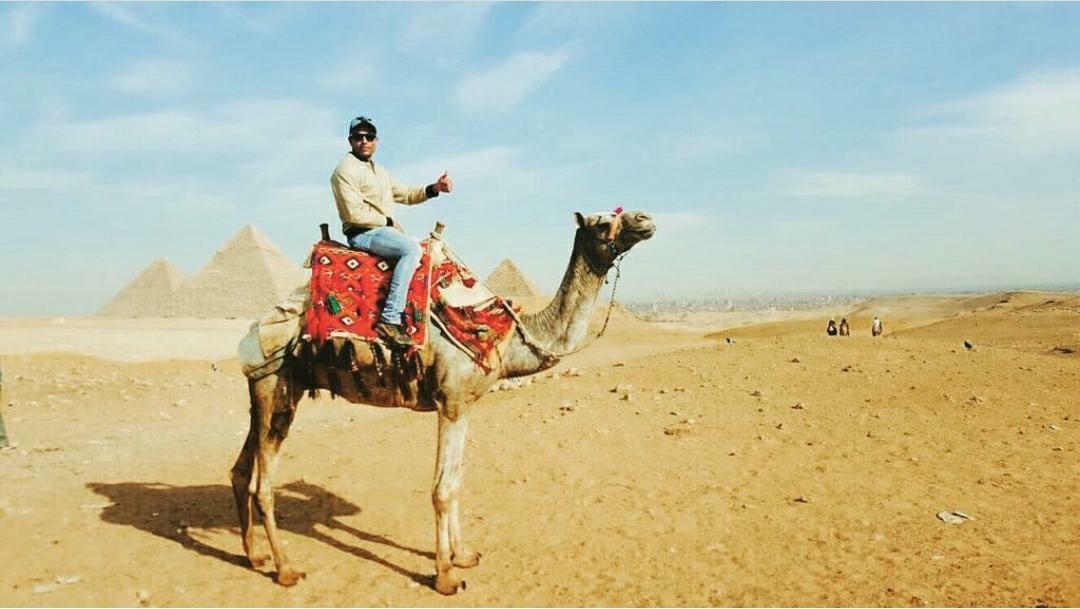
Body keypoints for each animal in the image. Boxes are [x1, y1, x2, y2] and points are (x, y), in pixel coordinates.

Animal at [230, 210, 656, 594]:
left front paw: (463, 555)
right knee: (262, 485)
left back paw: (256, 556)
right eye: (602, 223)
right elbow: (442, 488)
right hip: (276, 386)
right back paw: (287, 570)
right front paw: (446, 576)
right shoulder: (451, 402)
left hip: (268, 392)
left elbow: (456, 481)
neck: (503, 337)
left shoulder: (466, 404)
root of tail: (251, 333)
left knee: (240, 471)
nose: (645, 219)